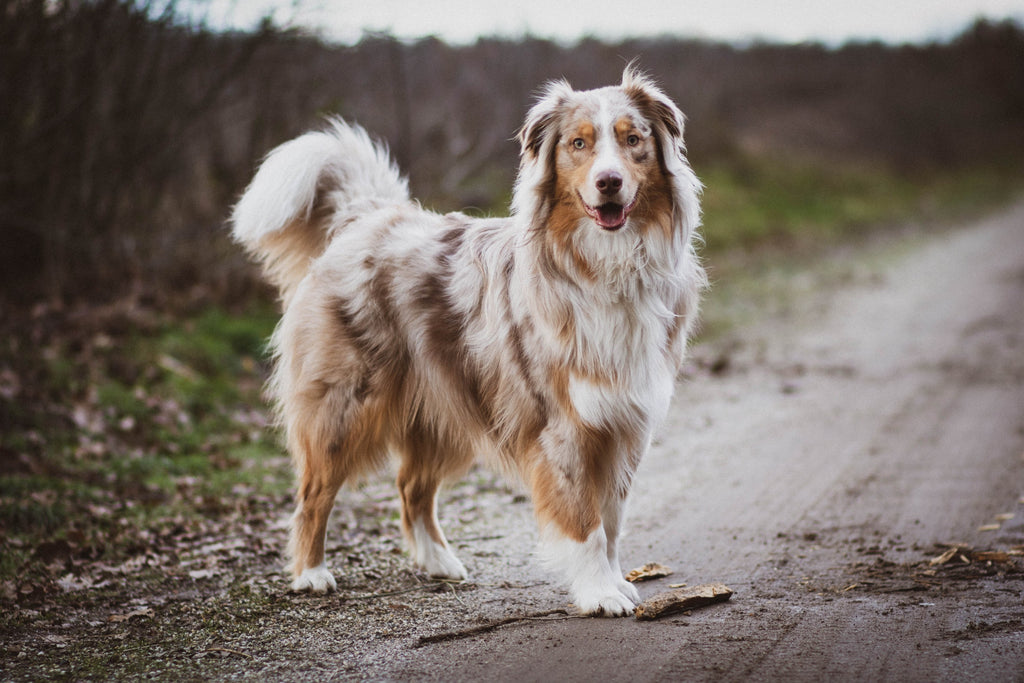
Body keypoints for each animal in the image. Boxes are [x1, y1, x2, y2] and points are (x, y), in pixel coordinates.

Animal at [231, 66, 704, 618]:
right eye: (579, 144)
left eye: (633, 140)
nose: (609, 182)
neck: (606, 265)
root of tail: (366, 216)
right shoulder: (564, 426)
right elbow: (585, 522)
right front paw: (599, 593)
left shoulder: (624, 424)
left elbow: (610, 521)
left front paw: (616, 582)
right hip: (345, 406)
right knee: (314, 493)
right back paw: (311, 573)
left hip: (446, 405)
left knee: (411, 486)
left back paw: (439, 561)